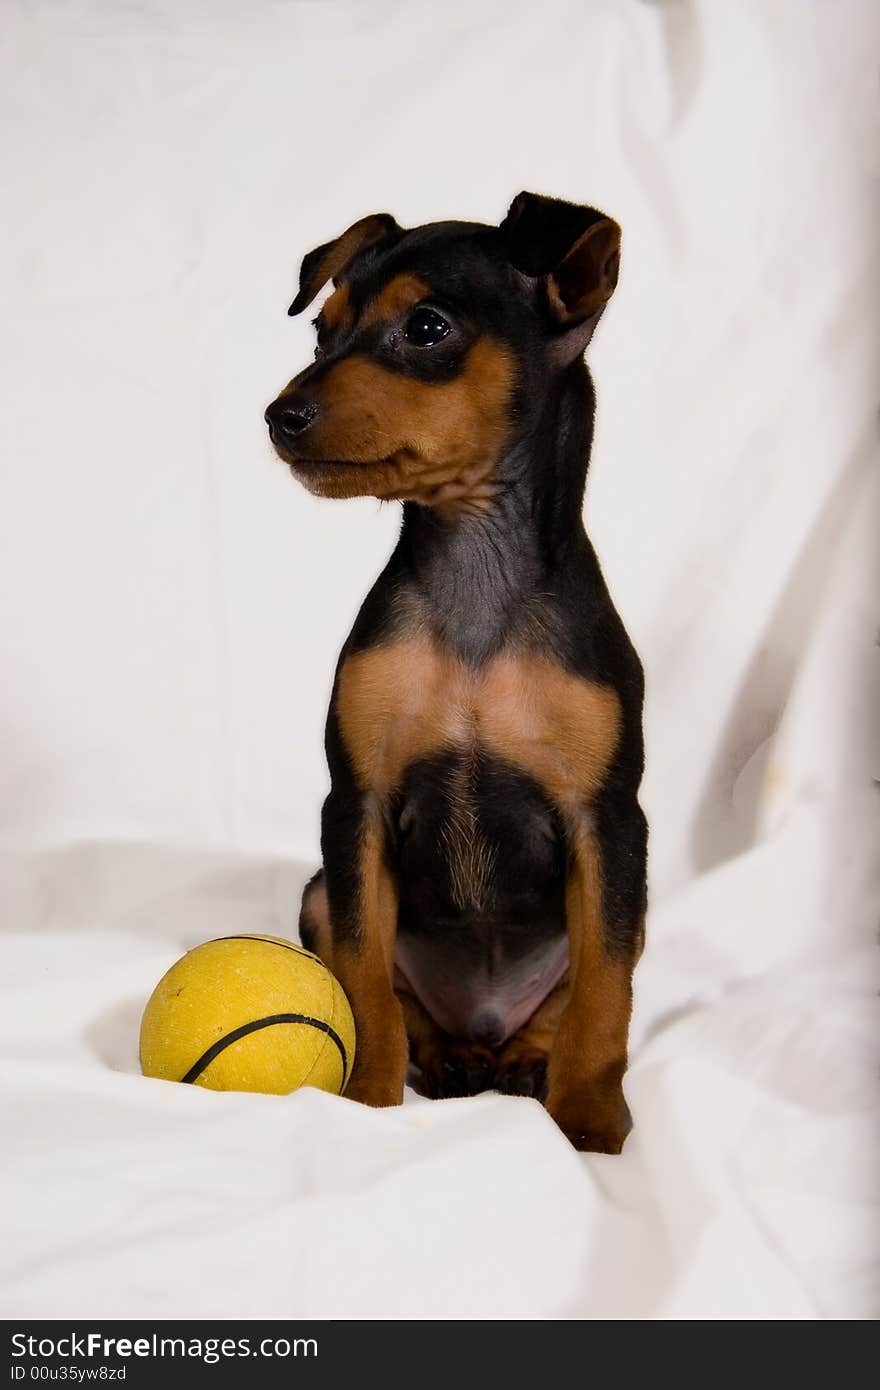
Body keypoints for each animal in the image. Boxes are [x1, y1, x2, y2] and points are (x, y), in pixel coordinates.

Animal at [262, 193, 645, 1150]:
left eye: (427, 328)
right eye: (320, 332)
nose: (279, 416)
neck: (476, 566)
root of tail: (486, 1020)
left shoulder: (610, 823)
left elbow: (606, 995)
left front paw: (592, 1127)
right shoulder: (355, 807)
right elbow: (363, 976)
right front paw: (366, 1101)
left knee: (573, 992)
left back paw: (525, 1062)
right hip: (319, 889)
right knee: (394, 990)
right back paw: (445, 1057)